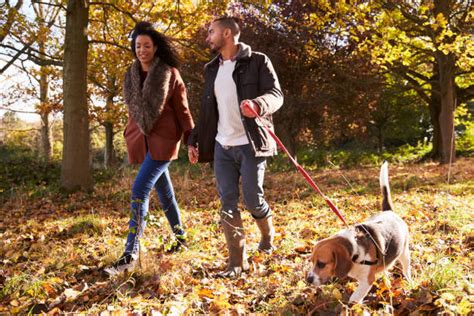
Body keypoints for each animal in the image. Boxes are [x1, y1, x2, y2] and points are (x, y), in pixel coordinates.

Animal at [308, 163, 412, 304]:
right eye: (311, 261)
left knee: (406, 270)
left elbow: (354, 298)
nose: (308, 279)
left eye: (321, 264)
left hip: (404, 254)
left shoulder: (367, 281)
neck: (355, 252)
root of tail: (389, 211)